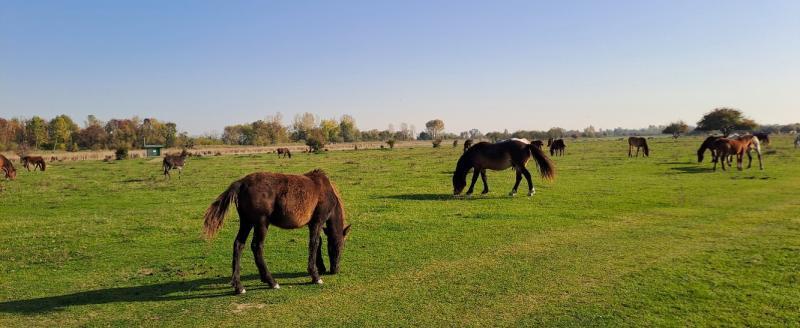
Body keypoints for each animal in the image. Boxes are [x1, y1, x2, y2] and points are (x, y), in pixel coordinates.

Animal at [203, 169, 350, 294]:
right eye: (339, 246)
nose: (335, 270)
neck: (325, 189)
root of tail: (242, 183)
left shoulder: (312, 224)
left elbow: (317, 244)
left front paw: (320, 268)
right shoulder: (317, 222)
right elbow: (314, 244)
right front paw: (315, 276)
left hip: (246, 222)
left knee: (239, 244)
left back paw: (239, 286)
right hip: (261, 223)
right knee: (256, 246)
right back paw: (272, 282)